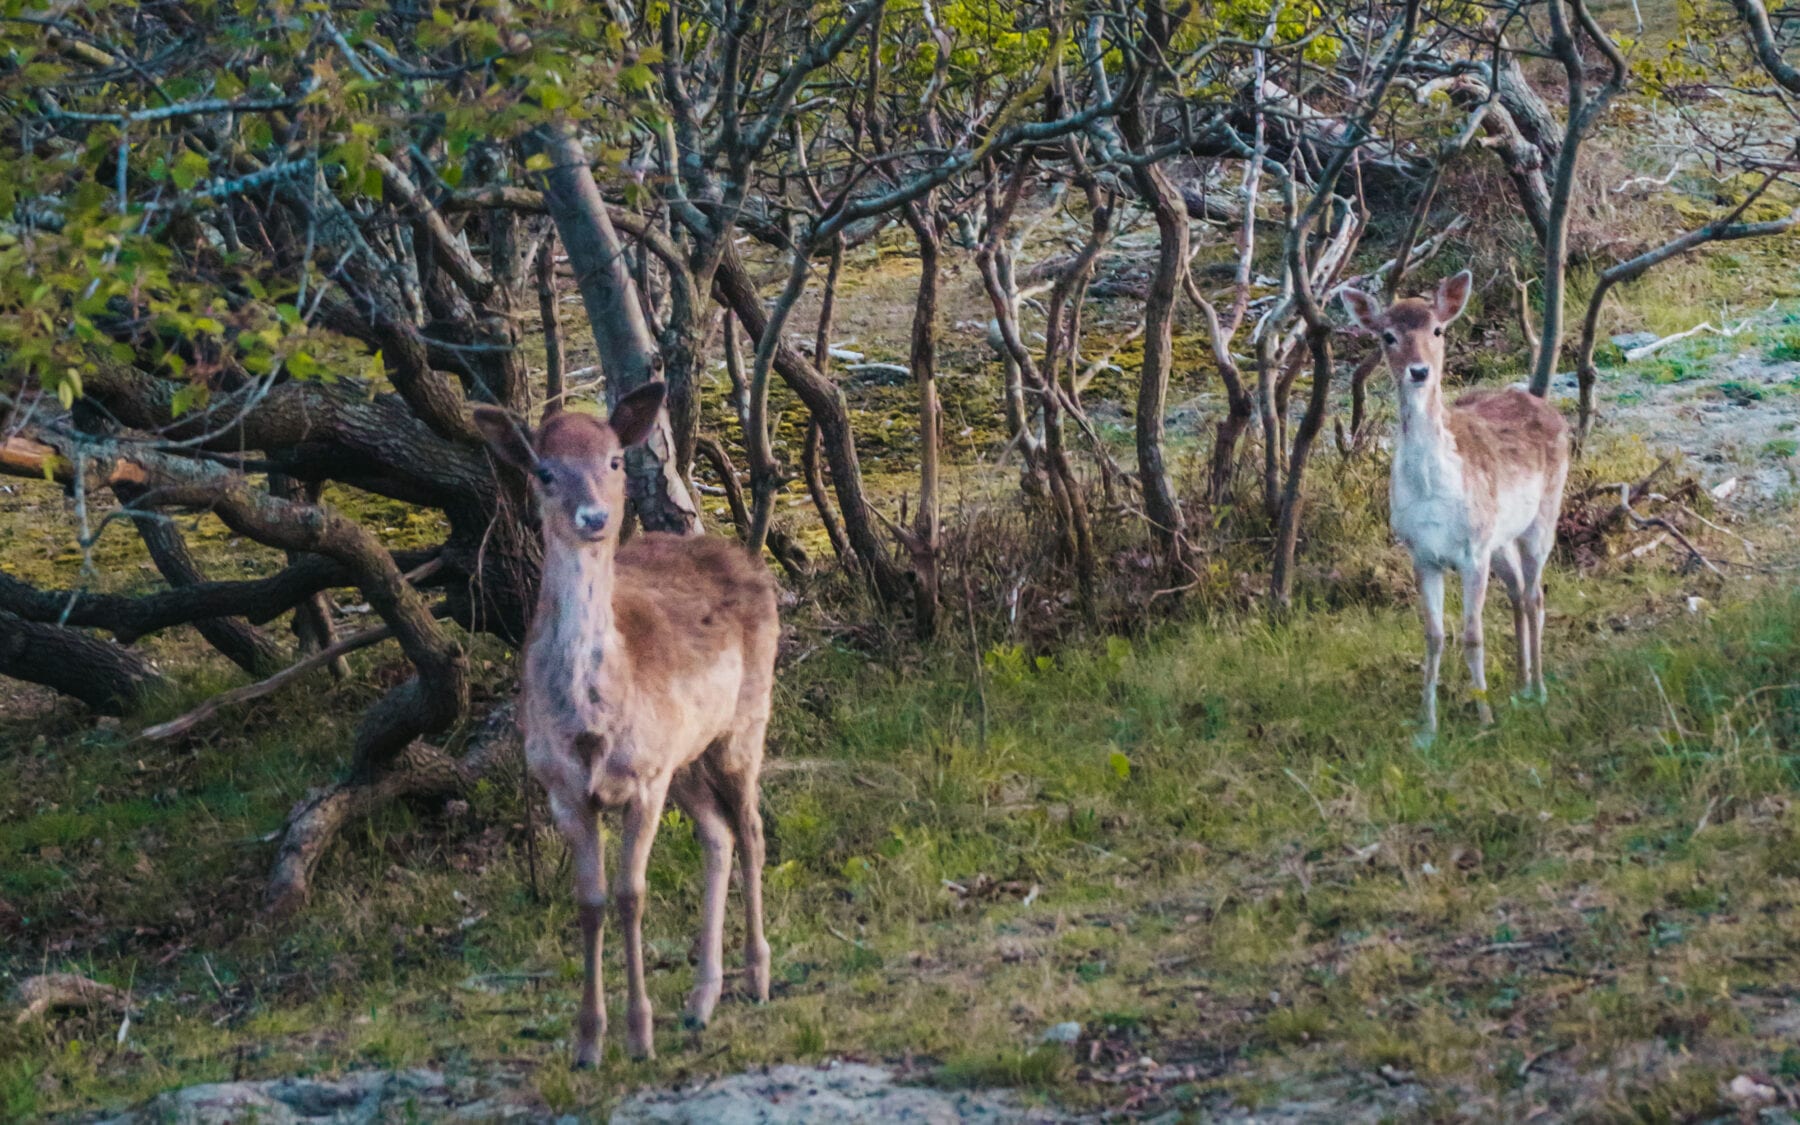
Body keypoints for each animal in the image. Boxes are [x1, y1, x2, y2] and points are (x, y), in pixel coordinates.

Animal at [468, 381, 777, 1065]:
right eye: (544, 470)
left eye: (613, 461)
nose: (594, 518)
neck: (591, 721)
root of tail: (740, 555)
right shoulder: (563, 788)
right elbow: (589, 902)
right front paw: (587, 1042)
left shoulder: (643, 779)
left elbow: (632, 895)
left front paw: (639, 1036)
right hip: (684, 757)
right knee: (718, 834)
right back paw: (700, 1001)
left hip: (744, 722)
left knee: (750, 828)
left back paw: (758, 978)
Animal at [1346, 270, 1569, 745]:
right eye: (1387, 336)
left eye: (1437, 330)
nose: (1418, 370)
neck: (1434, 493)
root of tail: (1547, 406)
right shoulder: (1422, 553)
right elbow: (1433, 635)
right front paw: (1426, 727)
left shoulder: (1472, 551)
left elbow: (1472, 634)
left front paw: (1484, 720)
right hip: (1500, 540)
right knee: (1518, 591)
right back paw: (1521, 685)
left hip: (1543, 515)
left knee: (1535, 592)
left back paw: (1539, 689)